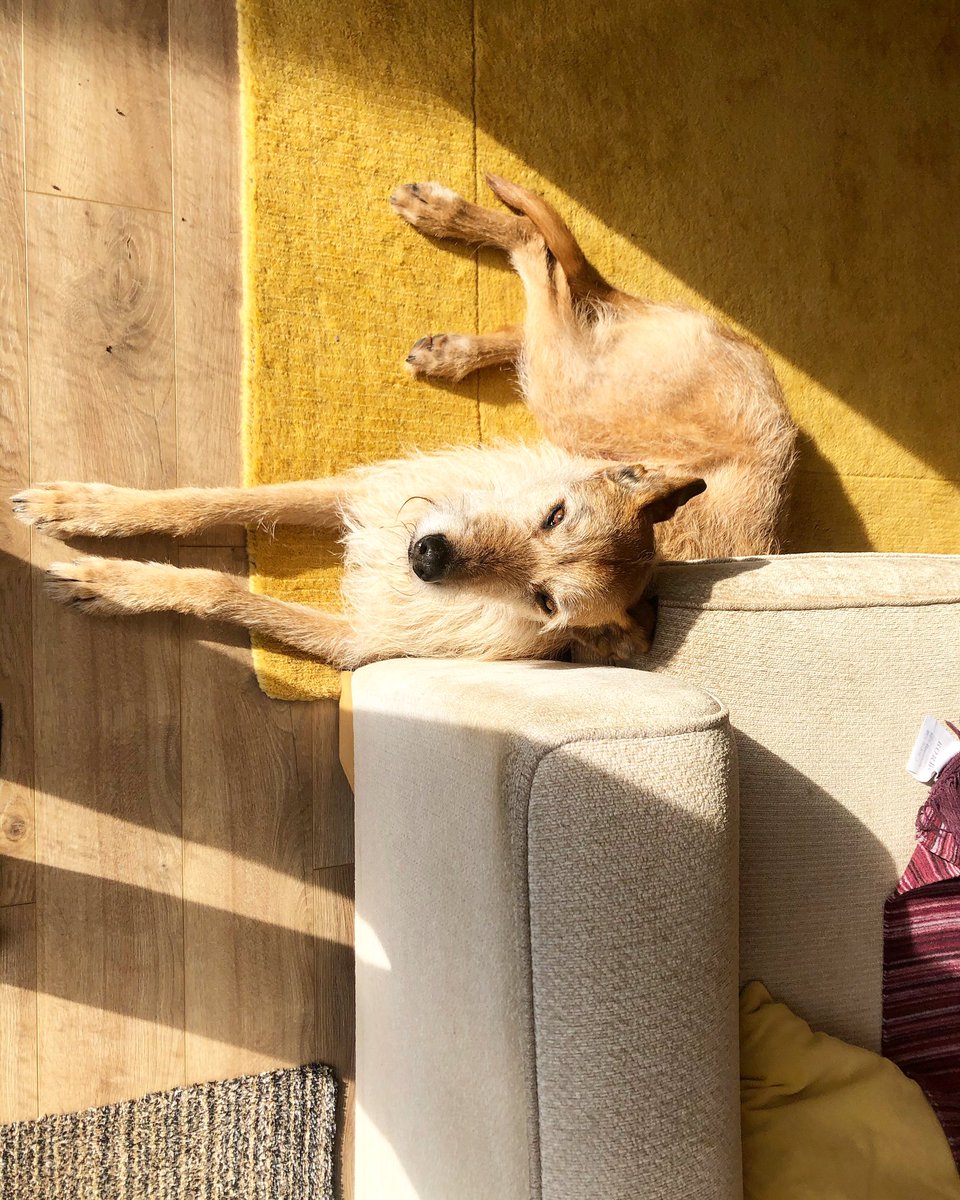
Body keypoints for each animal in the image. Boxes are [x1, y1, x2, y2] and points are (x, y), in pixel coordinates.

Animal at [13, 177, 796, 672]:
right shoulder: (359, 491)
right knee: (543, 262)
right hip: (573, 394)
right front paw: (83, 506)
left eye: (546, 602)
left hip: (570, 391)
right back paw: (446, 234)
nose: (428, 557)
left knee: (548, 284)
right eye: (553, 513)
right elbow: (205, 504)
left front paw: (108, 582)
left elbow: (222, 590)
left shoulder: (356, 638)